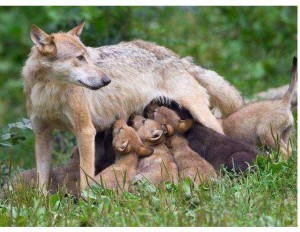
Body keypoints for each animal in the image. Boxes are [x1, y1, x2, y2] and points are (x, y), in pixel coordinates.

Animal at [22, 22, 244, 193]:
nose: (106, 80)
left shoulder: (85, 131)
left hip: (203, 116)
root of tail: (173, 56)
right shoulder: (42, 134)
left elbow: (85, 175)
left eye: (88, 57)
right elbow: (42, 180)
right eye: (79, 58)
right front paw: (43, 205)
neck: (48, 93)